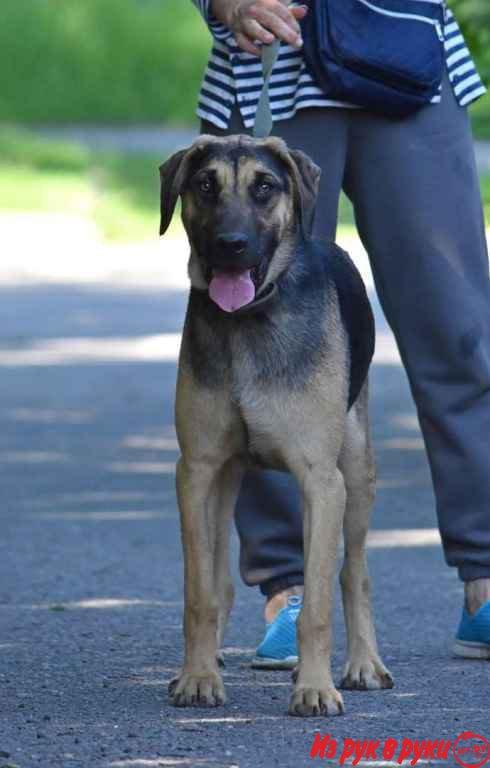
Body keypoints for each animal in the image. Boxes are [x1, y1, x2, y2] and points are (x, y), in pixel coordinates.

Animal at [161, 135, 394, 716]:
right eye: (205, 186)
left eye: (264, 187)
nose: (231, 245)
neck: (248, 323)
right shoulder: (196, 471)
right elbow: (200, 592)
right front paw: (197, 676)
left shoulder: (321, 481)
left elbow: (317, 603)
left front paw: (314, 687)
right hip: (225, 482)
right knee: (219, 579)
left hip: (357, 471)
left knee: (354, 573)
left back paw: (363, 664)